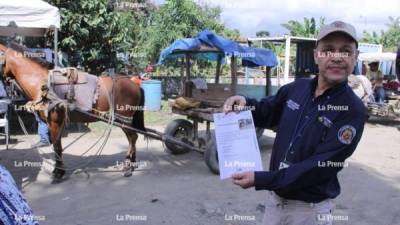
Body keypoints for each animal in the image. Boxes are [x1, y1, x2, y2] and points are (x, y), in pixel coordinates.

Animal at [0, 42, 145, 183]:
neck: (43, 84)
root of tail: (135, 84)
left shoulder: (55, 122)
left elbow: (57, 147)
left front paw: (58, 173)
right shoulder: (56, 122)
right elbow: (57, 146)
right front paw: (58, 170)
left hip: (124, 119)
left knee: (133, 138)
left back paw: (128, 167)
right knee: (132, 138)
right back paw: (132, 163)